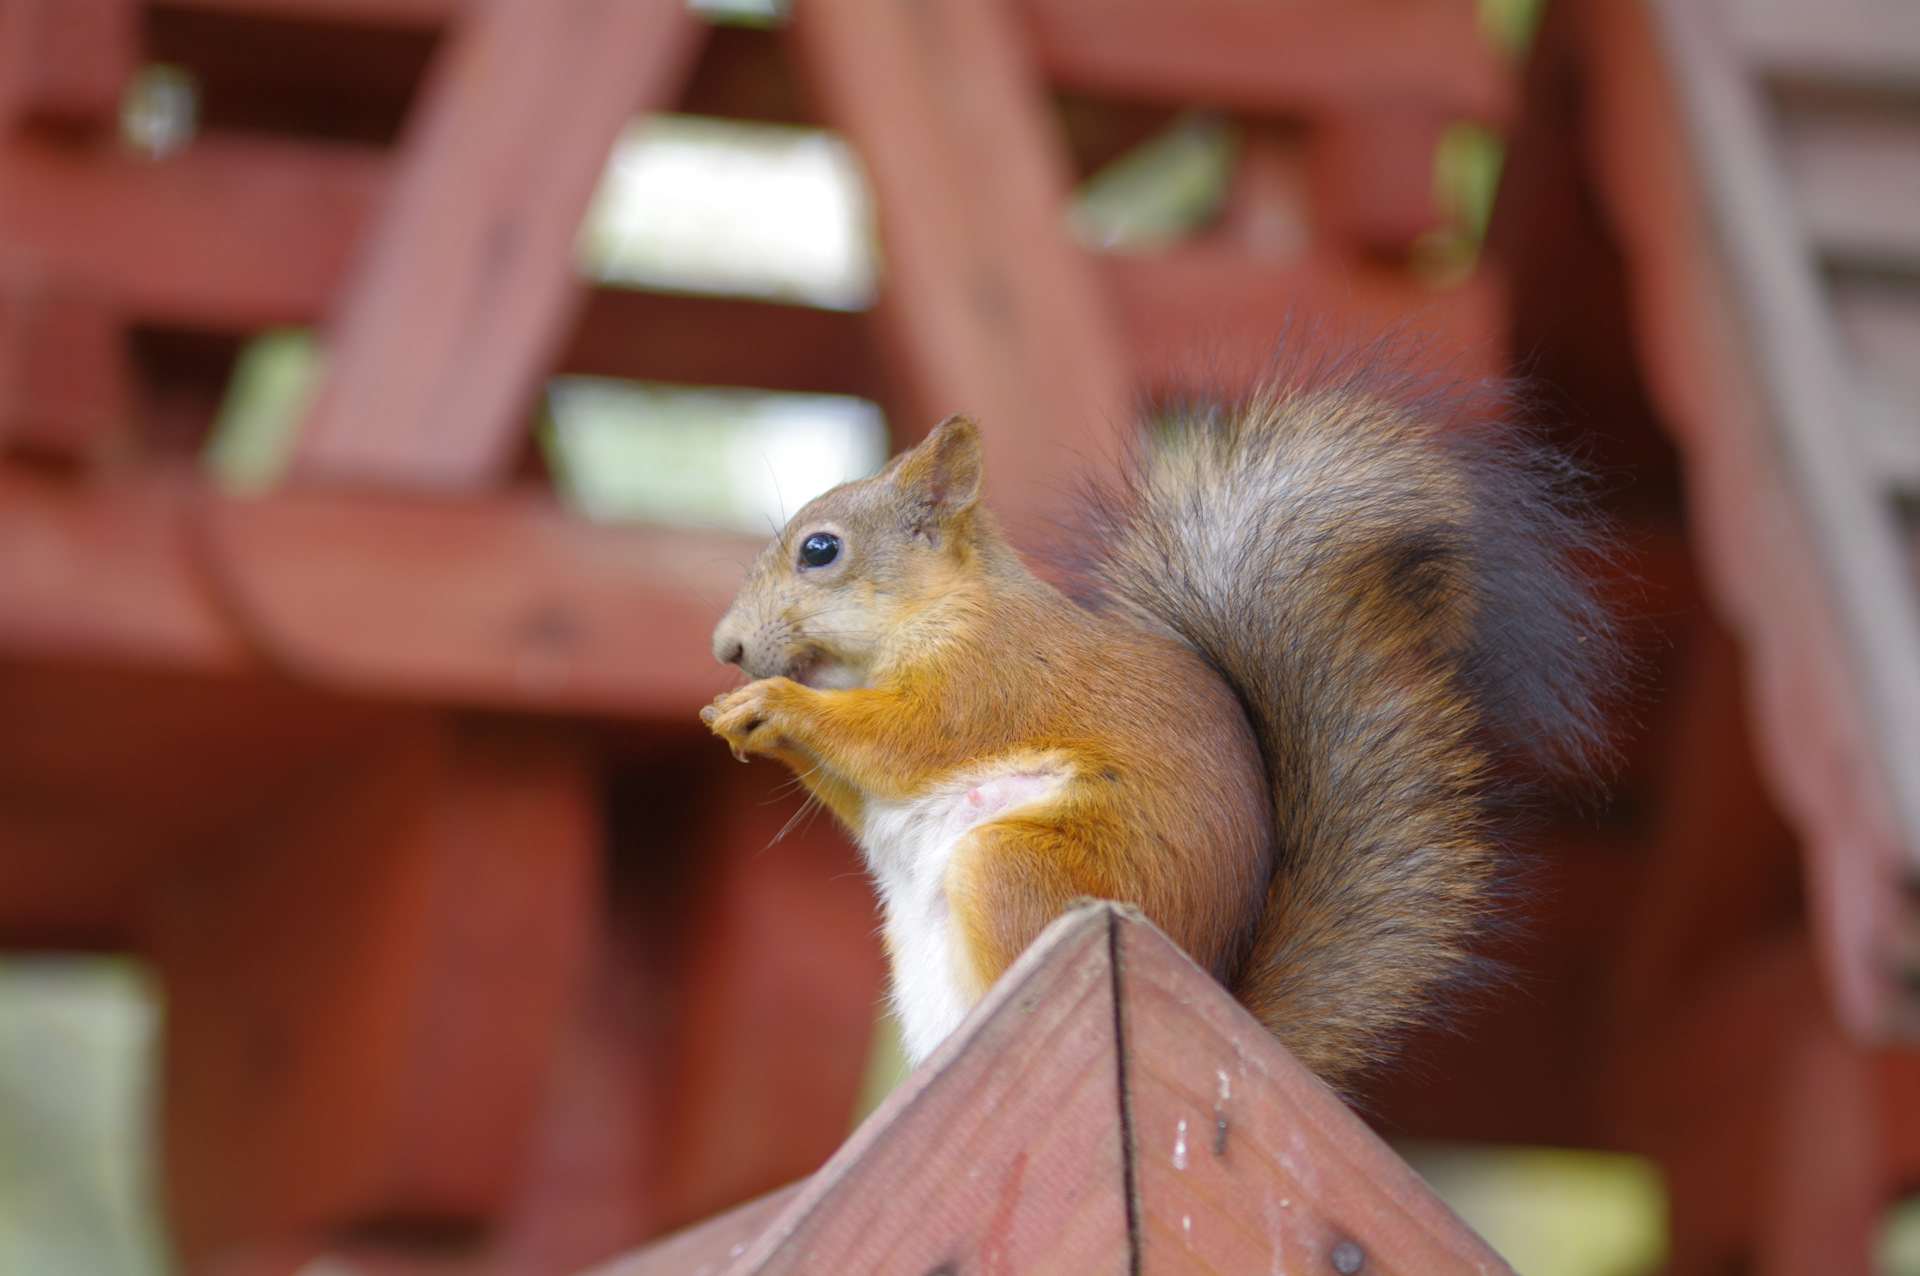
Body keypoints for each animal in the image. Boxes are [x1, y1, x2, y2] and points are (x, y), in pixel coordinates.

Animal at [698, 370, 1612, 1082]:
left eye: (821, 551)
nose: (726, 647)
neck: (942, 609)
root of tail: (1212, 1002)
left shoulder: (989, 676)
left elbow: (905, 741)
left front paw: (774, 706)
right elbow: (862, 789)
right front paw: (739, 719)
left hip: (1023, 874)